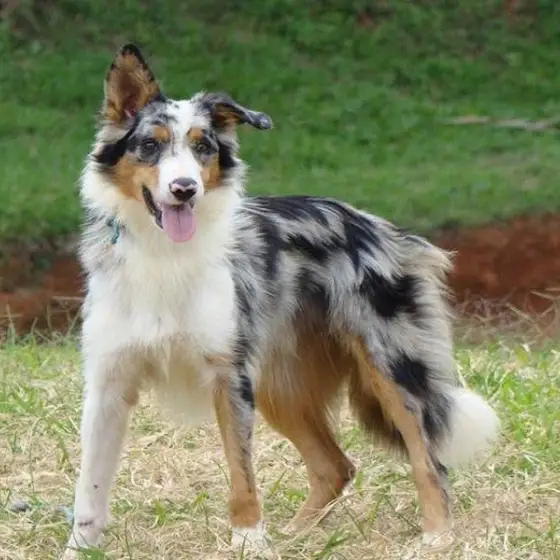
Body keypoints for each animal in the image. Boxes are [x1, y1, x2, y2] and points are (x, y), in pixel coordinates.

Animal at [62, 44, 499, 558]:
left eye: (203, 147)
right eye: (150, 145)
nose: (185, 189)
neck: (162, 254)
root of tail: (380, 226)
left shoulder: (229, 377)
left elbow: (241, 475)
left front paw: (249, 539)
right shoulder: (109, 381)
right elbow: (89, 489)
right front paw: (79, 547)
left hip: (392, 368)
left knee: (429, 458)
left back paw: (434, 538)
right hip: (281, 387)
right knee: (336, 466)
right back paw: (296, 535)